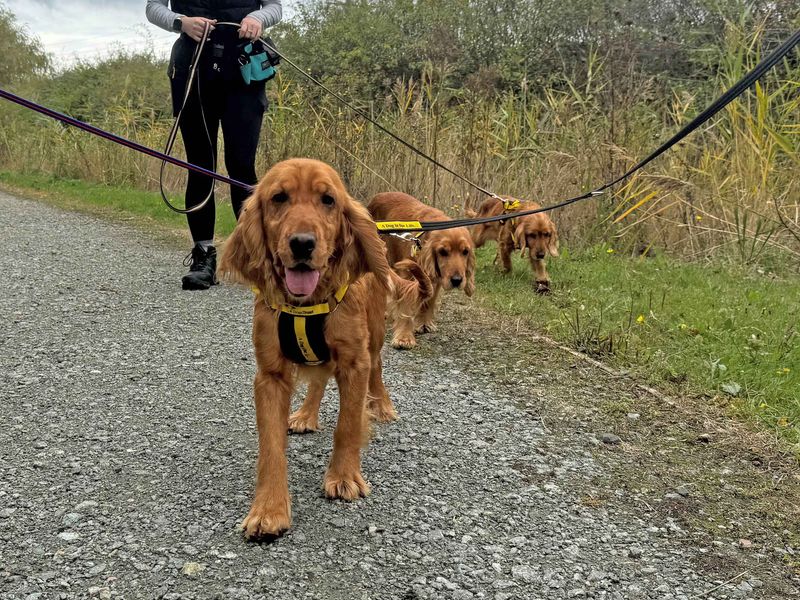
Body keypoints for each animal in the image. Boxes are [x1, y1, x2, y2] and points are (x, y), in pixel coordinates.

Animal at [219, 159, 432, 540]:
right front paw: (268, 509)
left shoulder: (354, 362)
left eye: (328, 200)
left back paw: (382, 405)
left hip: (374, 336)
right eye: (279, 198)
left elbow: (347, 424)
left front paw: (344, 478)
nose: (302, 244)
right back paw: (306, 414)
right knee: (318, 380)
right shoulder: (269, 375)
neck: (306, 305)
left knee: (377, 369)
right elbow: (270, 447)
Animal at [368, 192, 476, 350]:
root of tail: (377, 196)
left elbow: (428, 302)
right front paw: (404, 338)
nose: (457, 281)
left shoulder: (436, 279)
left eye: (465, 251)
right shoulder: (408, 275)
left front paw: (424, 324)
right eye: (443, 252)